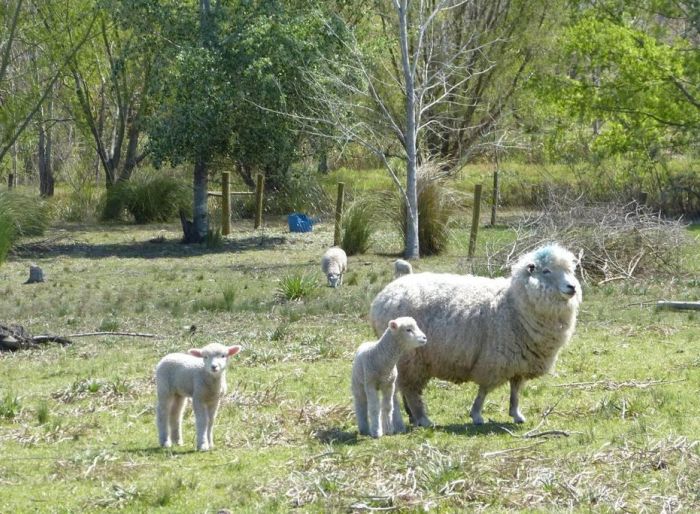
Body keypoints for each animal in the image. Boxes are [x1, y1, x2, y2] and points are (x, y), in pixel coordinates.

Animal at [370, 242, 584, 426]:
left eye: (570, 271)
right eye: (546, 271)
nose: (572, 287)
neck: (514, 305)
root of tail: (386, 294)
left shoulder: (520, 361)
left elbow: (515, 391)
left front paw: (516, 414)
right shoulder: (494, 359)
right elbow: (484, 390)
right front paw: (476, 415)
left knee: (406, 387)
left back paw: (412, 416)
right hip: (411, 357)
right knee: (411, 389)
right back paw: (422, 418)